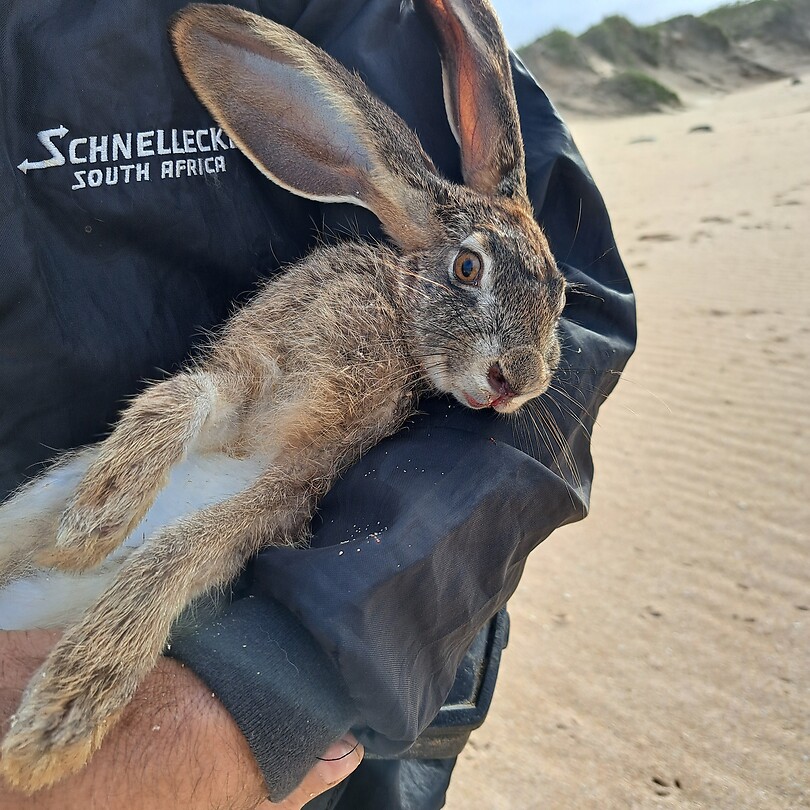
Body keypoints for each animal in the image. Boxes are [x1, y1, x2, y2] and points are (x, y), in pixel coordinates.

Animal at [0, 0, 566, 793]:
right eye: (467, 267)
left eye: (561, 296)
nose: (516, 380)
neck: (397, 315)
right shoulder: (255, 368)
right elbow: (183, 398)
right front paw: (96, 519)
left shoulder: (294, 486)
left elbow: (182, 548)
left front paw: (61, 714)